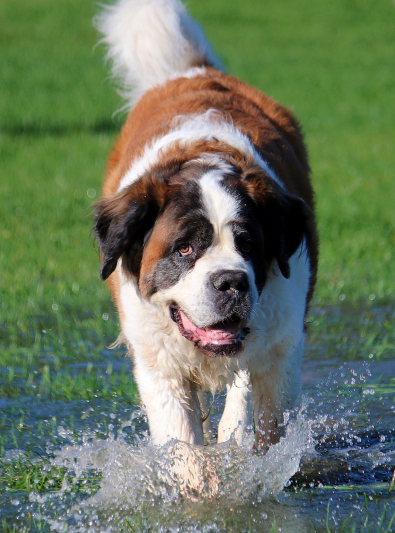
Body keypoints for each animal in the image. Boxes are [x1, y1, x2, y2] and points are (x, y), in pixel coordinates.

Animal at [95, 0, 318, 448]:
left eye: (248, 244)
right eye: (184, 248)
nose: (231, 281)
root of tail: (196, 73)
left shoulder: (279, 350)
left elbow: (254, 414)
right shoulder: (157, 362)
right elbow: (183, 442)